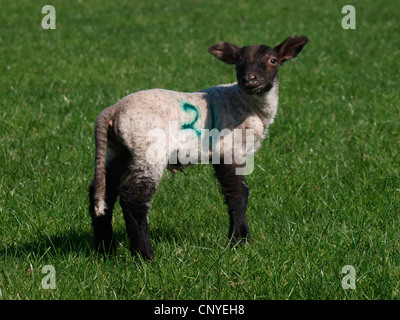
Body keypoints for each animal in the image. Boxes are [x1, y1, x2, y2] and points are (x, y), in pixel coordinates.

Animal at [89, 35, 310, 260]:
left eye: (273, 61)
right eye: (238, 62)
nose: (250, 80)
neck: (248, 103)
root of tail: (112, 111)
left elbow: (234, 193)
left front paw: (237, 238)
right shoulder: (228, 149)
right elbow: (238, 193)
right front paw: (240, 241)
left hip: (118, 151)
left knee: (103, 192)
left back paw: (105, 249)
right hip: (149, 149)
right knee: (133, 199)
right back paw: (145, 256)